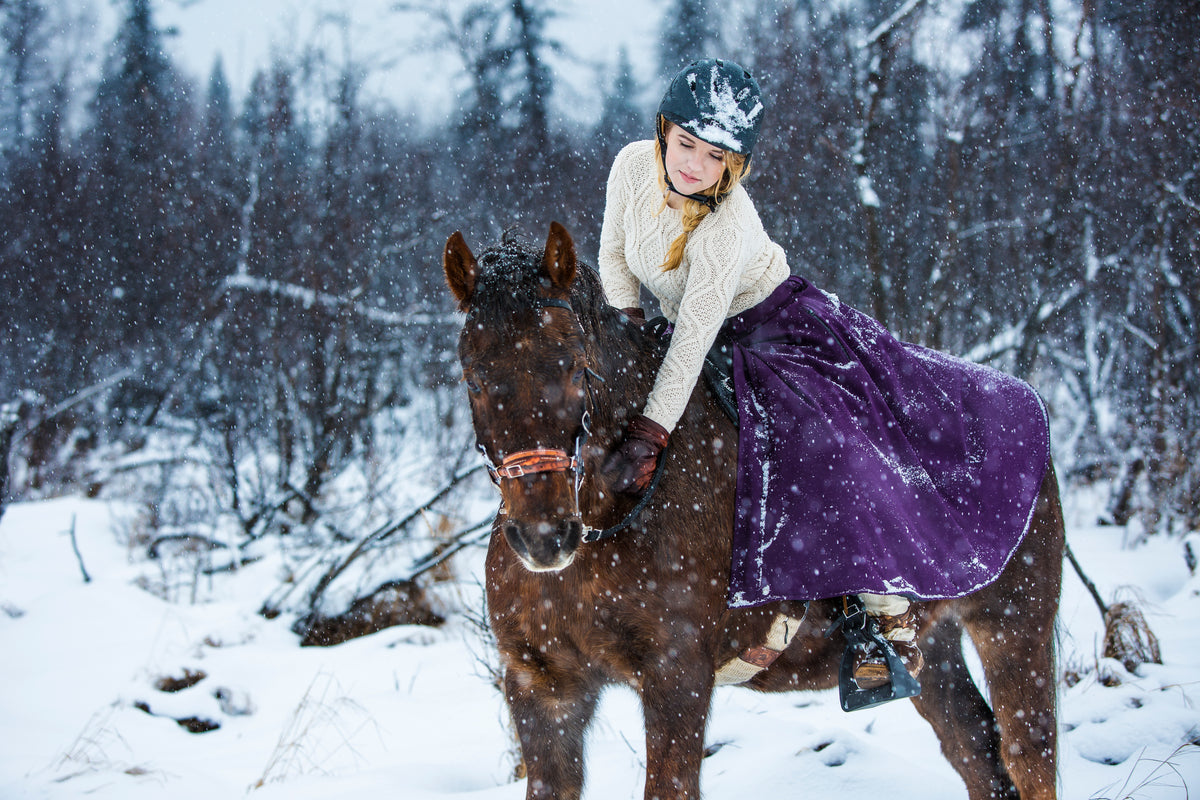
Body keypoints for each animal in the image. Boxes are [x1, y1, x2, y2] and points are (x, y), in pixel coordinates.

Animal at [446, 220, 1065, 800]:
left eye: (577, 368)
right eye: (473, 380)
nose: (544, 536)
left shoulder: (677, 678)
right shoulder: (543, 686)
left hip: (1014, 629)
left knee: (1029, 755)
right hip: (933, 652)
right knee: (978, 752)